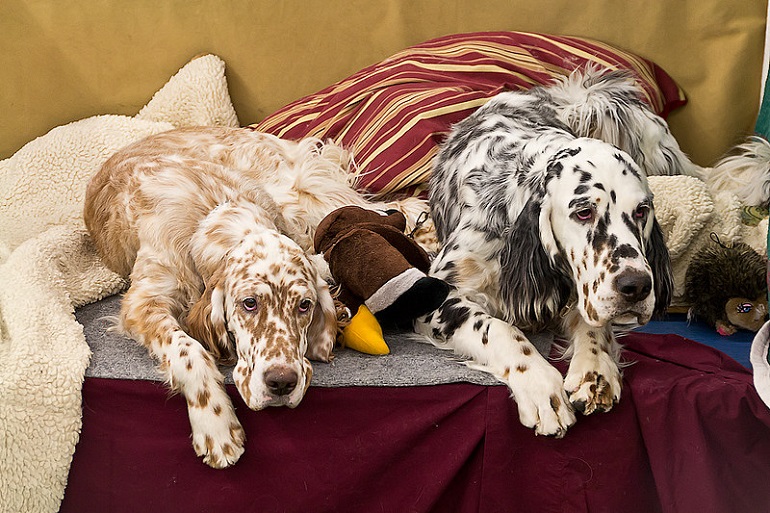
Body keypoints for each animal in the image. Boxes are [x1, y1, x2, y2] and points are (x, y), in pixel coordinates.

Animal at [88, 126, 432, 466]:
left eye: (304, 305)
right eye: (249, 304)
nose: (281, 382)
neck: (214, 210)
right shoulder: (143, 302)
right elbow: (189, 351)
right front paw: (215, 424)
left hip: (304, 194)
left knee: (379, 209)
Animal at [414, 69, 688, 436]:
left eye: (642, 211)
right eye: (584, 212)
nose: (637, 287)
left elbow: (592, 324)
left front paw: (595, 369)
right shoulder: (438, 296)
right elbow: (497, 328)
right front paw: (542, 387)